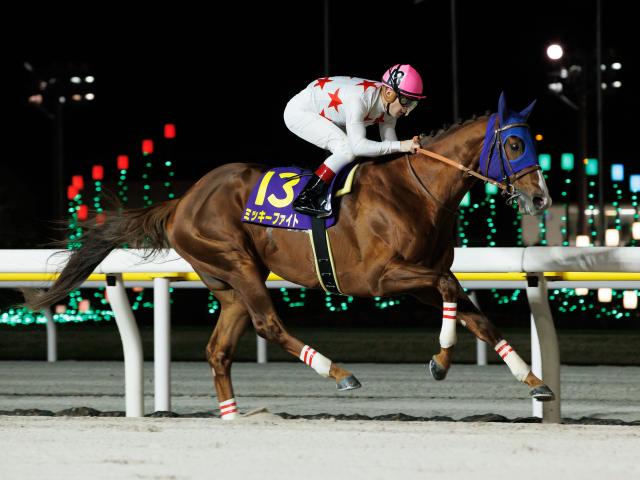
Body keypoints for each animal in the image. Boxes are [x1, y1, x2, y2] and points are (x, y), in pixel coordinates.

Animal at [28, 92, 554, 419]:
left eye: (532, 141)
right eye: (513, 143)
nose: (541, 197)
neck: (415, 191)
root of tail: (181, 200)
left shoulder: (427, 274)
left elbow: (477, 316)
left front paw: (534, 381)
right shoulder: (383, 278)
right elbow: (451, 296)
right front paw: (440, 361)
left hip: (230, 284)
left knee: (219, 350)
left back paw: (234, 417)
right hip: (237, 264)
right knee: (268, 325)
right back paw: (337, 373)